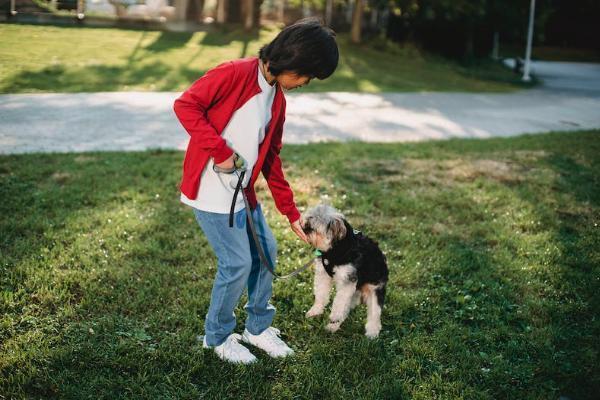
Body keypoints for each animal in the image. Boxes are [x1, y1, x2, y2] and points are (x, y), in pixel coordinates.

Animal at [300, 203, 390, 338]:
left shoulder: (347, 280)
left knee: (375, 312)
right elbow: (321, 294)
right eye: (306, 226)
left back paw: (372, 332)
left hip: (375, 288)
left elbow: (339, 303)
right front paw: (316, 310)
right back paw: (333, 326)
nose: (303, 227)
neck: (335, 249)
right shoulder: (323, 274)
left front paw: (334, 317)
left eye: (311, 229)